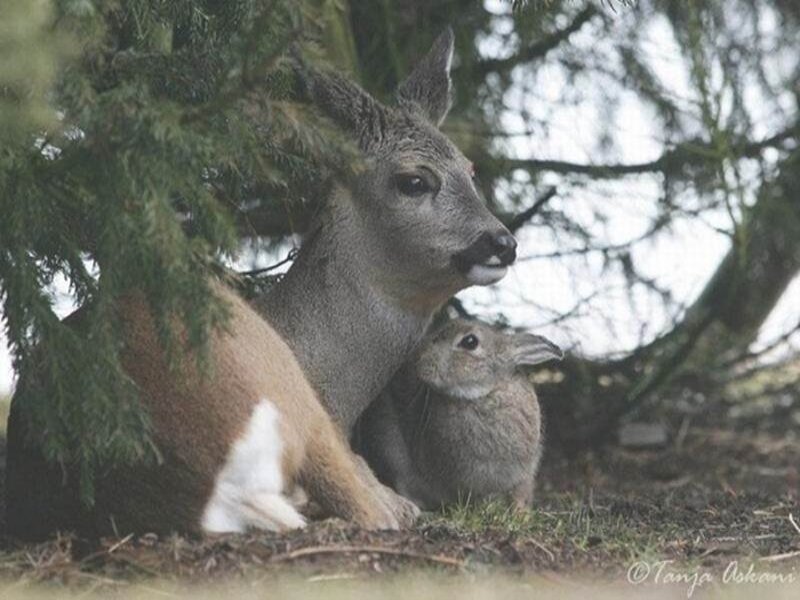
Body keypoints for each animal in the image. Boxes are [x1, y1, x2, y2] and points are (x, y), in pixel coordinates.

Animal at [356, 317, 563, 510]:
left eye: (470, 342)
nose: (419, 363)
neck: (485, 394)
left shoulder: (525, 471)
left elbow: (520, 493)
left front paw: (521, 512)